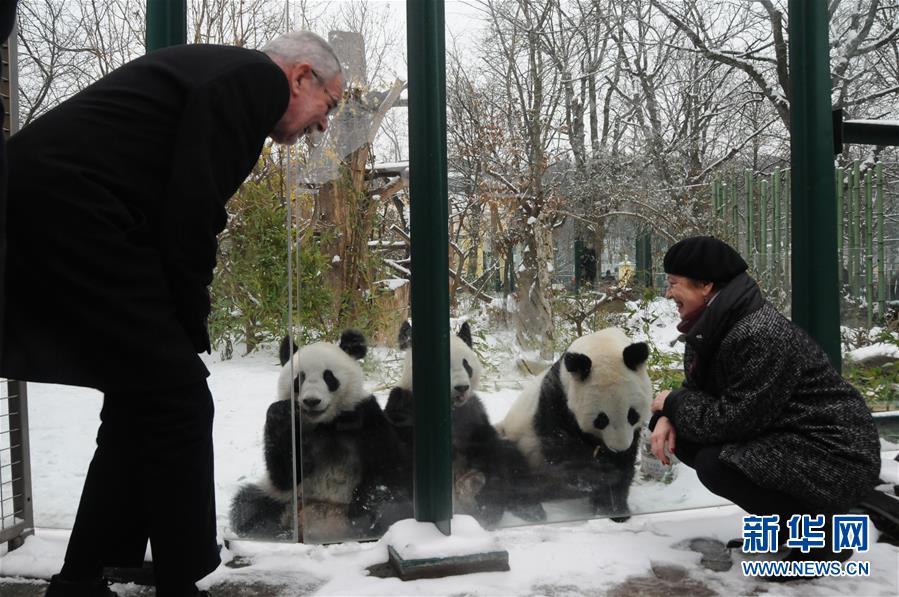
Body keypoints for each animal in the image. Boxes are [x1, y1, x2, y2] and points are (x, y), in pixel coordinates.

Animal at [229, 330, 412, 541]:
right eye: (299, 379)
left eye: (329, 377)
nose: (311, 401)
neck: (326, 423)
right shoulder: (302, 434)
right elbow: (284, 475)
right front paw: (281, 412)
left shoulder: (365, 417)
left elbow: (392, 469)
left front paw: (366, 508)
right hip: (284, 499)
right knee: (249, 504)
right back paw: (277, 532)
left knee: (392, 504)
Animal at [384, 321, 546, 528]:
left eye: (466, 364)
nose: (461, 387)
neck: (450, 409)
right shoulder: (405, 408)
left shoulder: (474, 414)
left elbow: (487, 448)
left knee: (511, 458)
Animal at [497, 327, 651, 521]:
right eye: (602, 419)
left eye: (632, 415)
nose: (618, 448)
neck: (599, 344)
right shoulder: (556, 399)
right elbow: (561, 449)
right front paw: (593, 478)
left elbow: (623, 466)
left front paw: (614, 510)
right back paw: (530, 509)